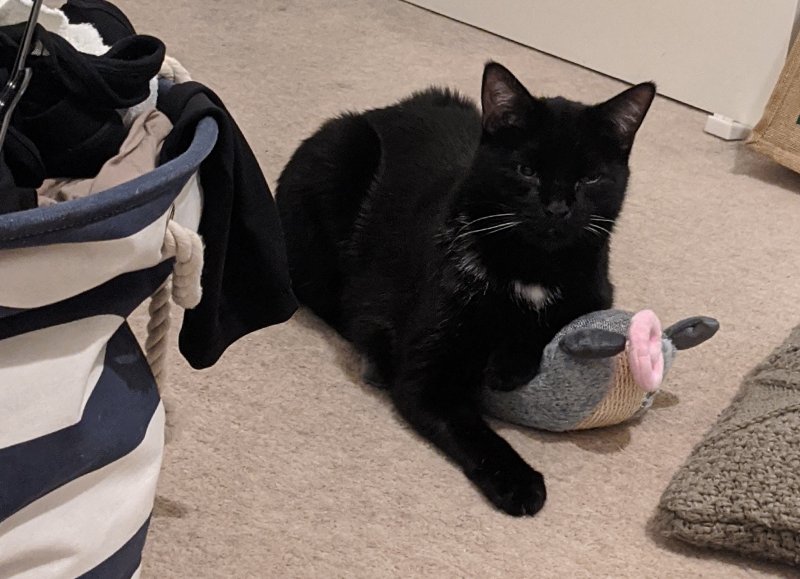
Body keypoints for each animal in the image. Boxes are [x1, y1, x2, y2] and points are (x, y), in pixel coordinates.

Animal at [275, 62, 655, 516]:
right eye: (526, 170)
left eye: (590, 178)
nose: (557, 209)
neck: (530, 265)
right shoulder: (428, 374)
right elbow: (471, 429)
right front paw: (519, 481)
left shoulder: (596, 289)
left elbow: (557, 316)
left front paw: (509, 363)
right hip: (337, 161)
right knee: (326, 295)